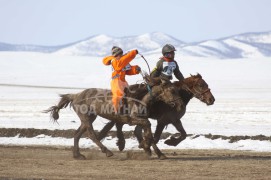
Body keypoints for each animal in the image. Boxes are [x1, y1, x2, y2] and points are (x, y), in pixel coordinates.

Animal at [44, 78, 184, 160]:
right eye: (172, 90)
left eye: (177, 90)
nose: (180, 105)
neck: (140, 98)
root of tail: (75, 95)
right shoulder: (132, 119)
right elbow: (148, 128)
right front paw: (145, 146)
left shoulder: (141, 120)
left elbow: (149, 134)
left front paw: (158, 153)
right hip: (86, 118)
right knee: (91, 134)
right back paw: (107, 151)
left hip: (90, 117)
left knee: (77, 134)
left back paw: (78, 155)